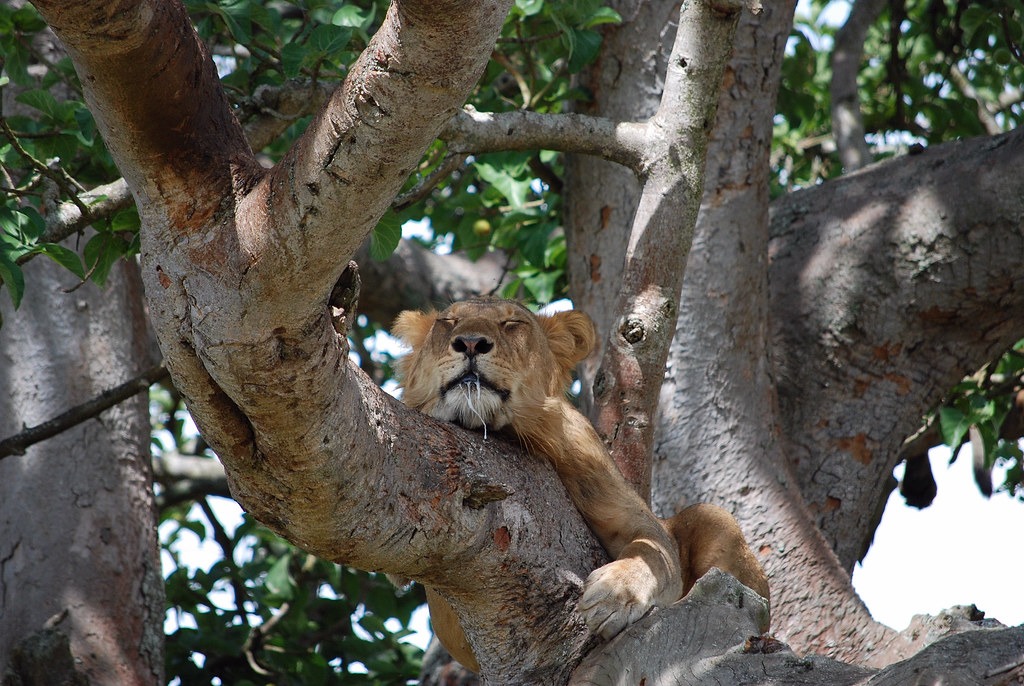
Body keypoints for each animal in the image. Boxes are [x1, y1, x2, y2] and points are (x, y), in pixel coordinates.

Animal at [393, 297, 769, 672]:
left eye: (512, 324)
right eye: (448, 322)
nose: (471, 343)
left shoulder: (635, 516)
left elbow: (650, 552)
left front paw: (615, 596)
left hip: (716, 519)